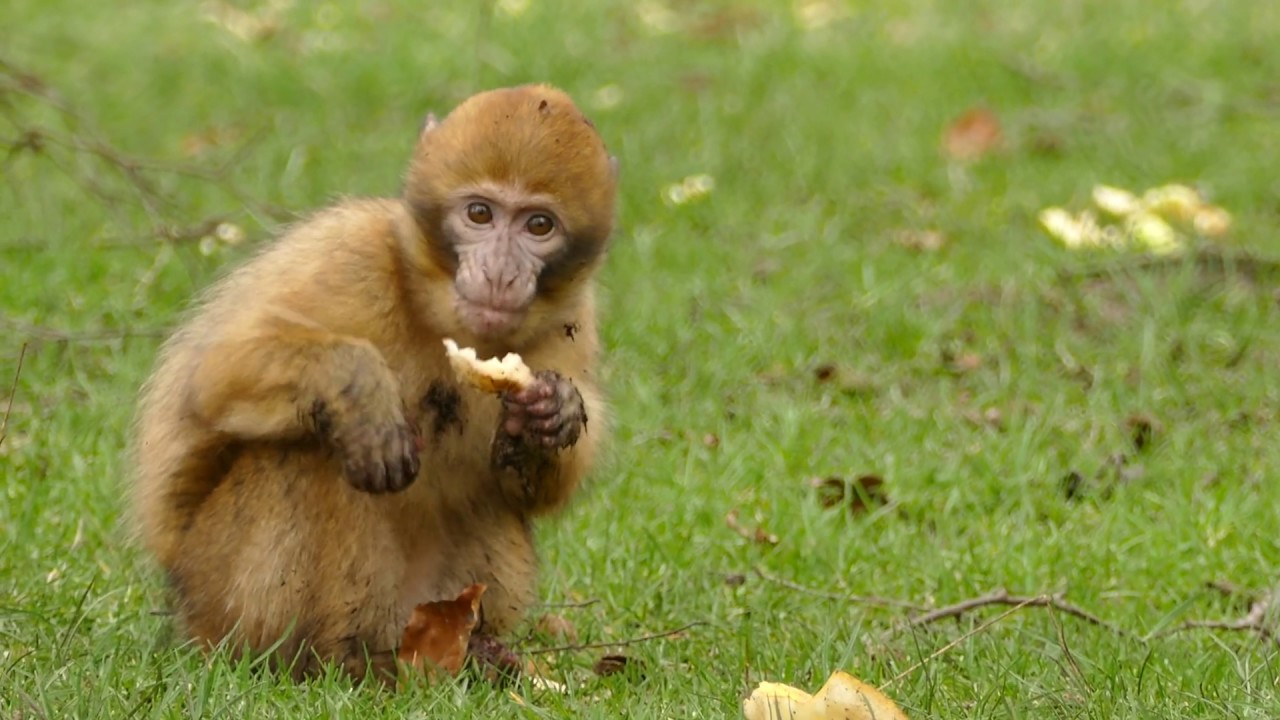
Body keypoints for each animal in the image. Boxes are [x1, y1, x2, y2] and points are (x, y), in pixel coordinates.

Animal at [129, 84, 618, 684]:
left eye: (539, 225)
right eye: (480, 213)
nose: (501, 273)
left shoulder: (576, 316)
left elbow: (530, 491)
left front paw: (553, 412)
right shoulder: (350, 254)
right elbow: (215, 374)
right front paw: (359, 386)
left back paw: (472, 653)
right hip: (216, 591)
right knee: (307, 456)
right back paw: (330, 662)